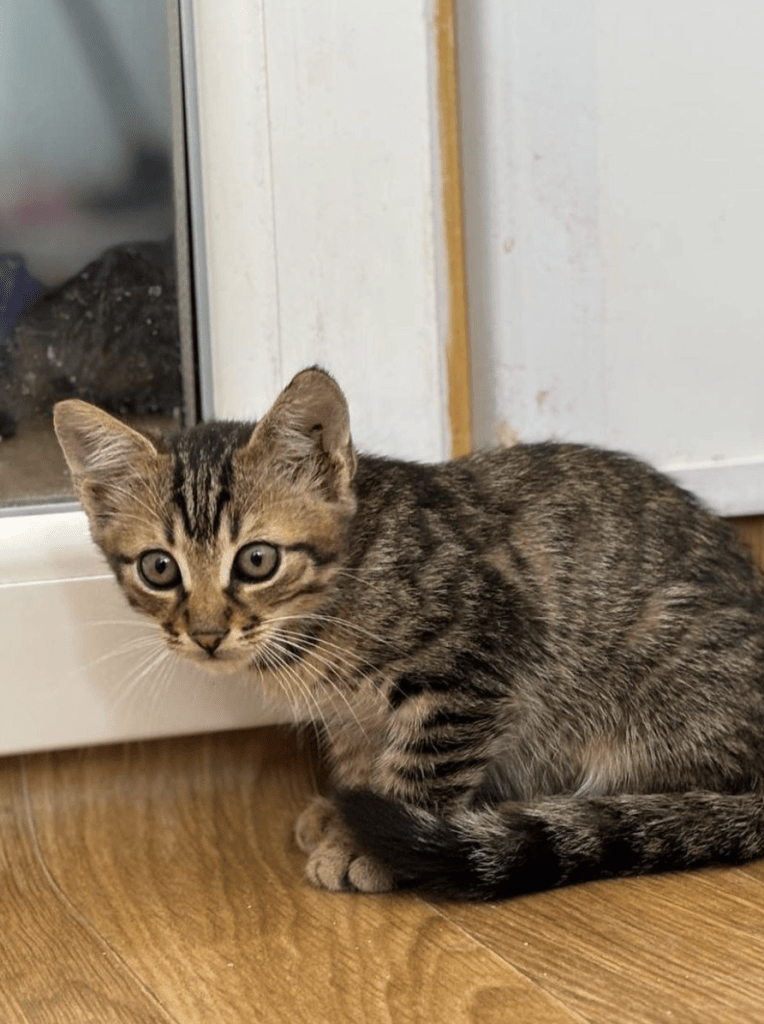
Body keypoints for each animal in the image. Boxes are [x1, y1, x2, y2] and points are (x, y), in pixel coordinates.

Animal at [56, 366, 761, 897]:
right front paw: (344, 809)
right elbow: (359, 754)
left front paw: (370, 845)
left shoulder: (475, 657)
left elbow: (423, 762)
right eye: (159, 568)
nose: (205, 633)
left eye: (257, 560)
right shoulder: (348, 710)